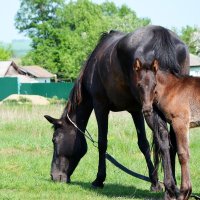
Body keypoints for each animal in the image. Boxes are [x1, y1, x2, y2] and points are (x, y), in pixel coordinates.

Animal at [44, 25, 190, 196]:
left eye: (54, 140)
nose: (54, 176)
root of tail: (161, 34)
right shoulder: (135, 110)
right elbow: (144, 144)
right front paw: (154, 183)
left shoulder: (100, 107)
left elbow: (102, 143)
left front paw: (99, 179)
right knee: (173, 142)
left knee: (163, 139)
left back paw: (170, 186)